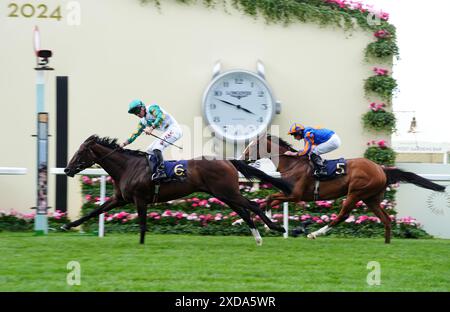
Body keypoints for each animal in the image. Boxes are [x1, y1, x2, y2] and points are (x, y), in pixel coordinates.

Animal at [62, 135, 292, 245]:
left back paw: (277, 228)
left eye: (80, 152)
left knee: (252, 205)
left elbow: (143, 224)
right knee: (244, 211)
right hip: (223, 194)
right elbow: (95, 211)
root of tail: (228, 160)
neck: (127, 167)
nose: (67, 169)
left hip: (228, 192)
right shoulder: (120, 199)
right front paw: (68, 225)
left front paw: (141, 245)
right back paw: (258, 238)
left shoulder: (139, 199)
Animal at [241, 134, 444, 244]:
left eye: (253, 145)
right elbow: (269, 200)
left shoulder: (296, 195)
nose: (242, 157)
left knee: (343, 215)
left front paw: (272, 225)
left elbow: (270, 198)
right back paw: (387, 243)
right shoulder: (288, 193)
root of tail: (381, 169)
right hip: (371, 198)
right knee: (386, 219)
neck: (292, 164)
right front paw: (269, 225)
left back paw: (314, 234)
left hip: (356, 192)